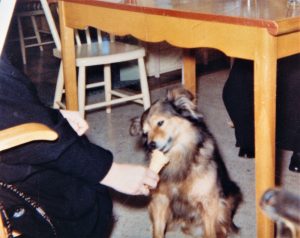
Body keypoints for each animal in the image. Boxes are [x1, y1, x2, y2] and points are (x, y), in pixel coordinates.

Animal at [130, 87, 243, 238]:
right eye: (145, 133)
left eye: (160, 123)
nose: (150, 145)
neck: (178, 157)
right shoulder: (160, 200)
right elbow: (158, 231)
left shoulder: (209, 202)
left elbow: (210, 232)